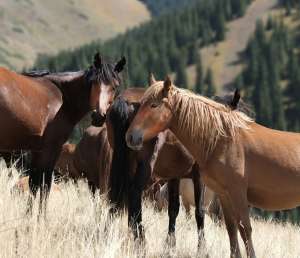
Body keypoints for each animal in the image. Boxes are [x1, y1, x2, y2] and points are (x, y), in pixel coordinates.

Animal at [0, 52, 125, 214]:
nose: (99, 116)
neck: (62, 98)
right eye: (94, 83)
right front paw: (41, 218)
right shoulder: (51, 150)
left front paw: (28, 217)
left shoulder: (37, 151)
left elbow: (33, 184)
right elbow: (45, 185)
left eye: (115, 86)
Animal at [125, 75, 300, 258]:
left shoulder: (237, 193)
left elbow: (245, 229)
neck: (223, 140)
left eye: (154, 105)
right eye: (140, 104)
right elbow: (232, 229)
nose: (131, 136)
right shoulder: (224, 194)